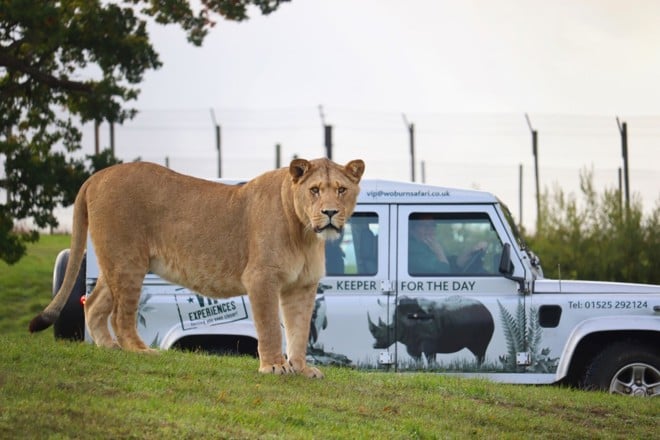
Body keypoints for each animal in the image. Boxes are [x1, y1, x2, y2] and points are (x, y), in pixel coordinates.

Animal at [31, 157, 366, 378]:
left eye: (341, 190)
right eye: (314, 190)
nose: (330, 212)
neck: (304, 233)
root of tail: (97, 176)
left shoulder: (303, 286)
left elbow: (298, 329)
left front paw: (302, 368)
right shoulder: (261, 277)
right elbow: (271, 326)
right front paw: (274, 366)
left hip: (115, 261)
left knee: (94, 303)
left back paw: (109, 348)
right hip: (129, 261)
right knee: (120, 315)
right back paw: (139, 350)